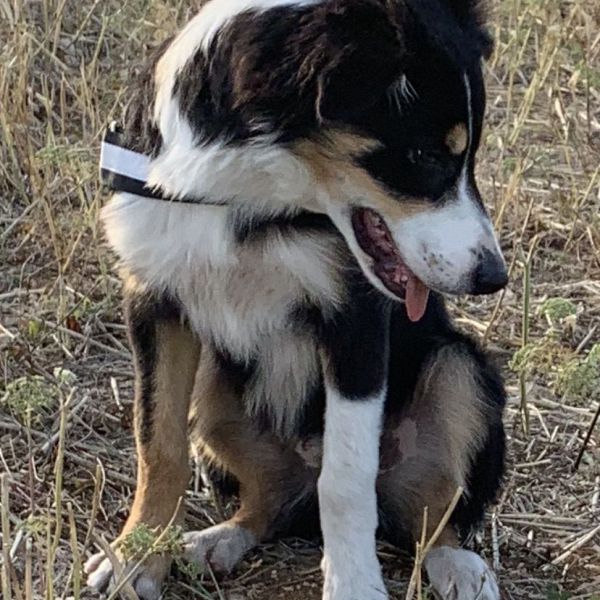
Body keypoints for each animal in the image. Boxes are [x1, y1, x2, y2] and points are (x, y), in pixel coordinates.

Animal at [86, 1, 508, 600]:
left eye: (468, 157)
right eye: (424, 156)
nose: (493, 276)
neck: (247, 191)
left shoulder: (356, 320)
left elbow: (347, 478)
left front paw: (353, 584)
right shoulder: (154, 302)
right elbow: (158, 443)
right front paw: (136, 558)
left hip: (459, 369)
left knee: (432, 511)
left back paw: (459, 566)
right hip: (214, 388)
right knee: (269, 500)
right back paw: (218, 541)